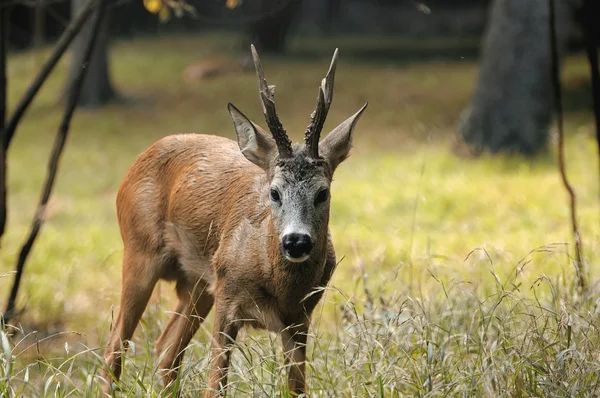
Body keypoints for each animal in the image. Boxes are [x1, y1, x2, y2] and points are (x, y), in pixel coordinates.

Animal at [101, 45, 368, 396]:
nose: (296, 241)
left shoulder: (300, 318)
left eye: (323, 193)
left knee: (166, 350)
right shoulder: (227, 301)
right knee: (114, 349)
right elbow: (215, 385)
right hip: (139, 251)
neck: (276, 283)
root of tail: (139, 159)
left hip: (197, 282)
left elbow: (297, 388)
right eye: (273, 192)